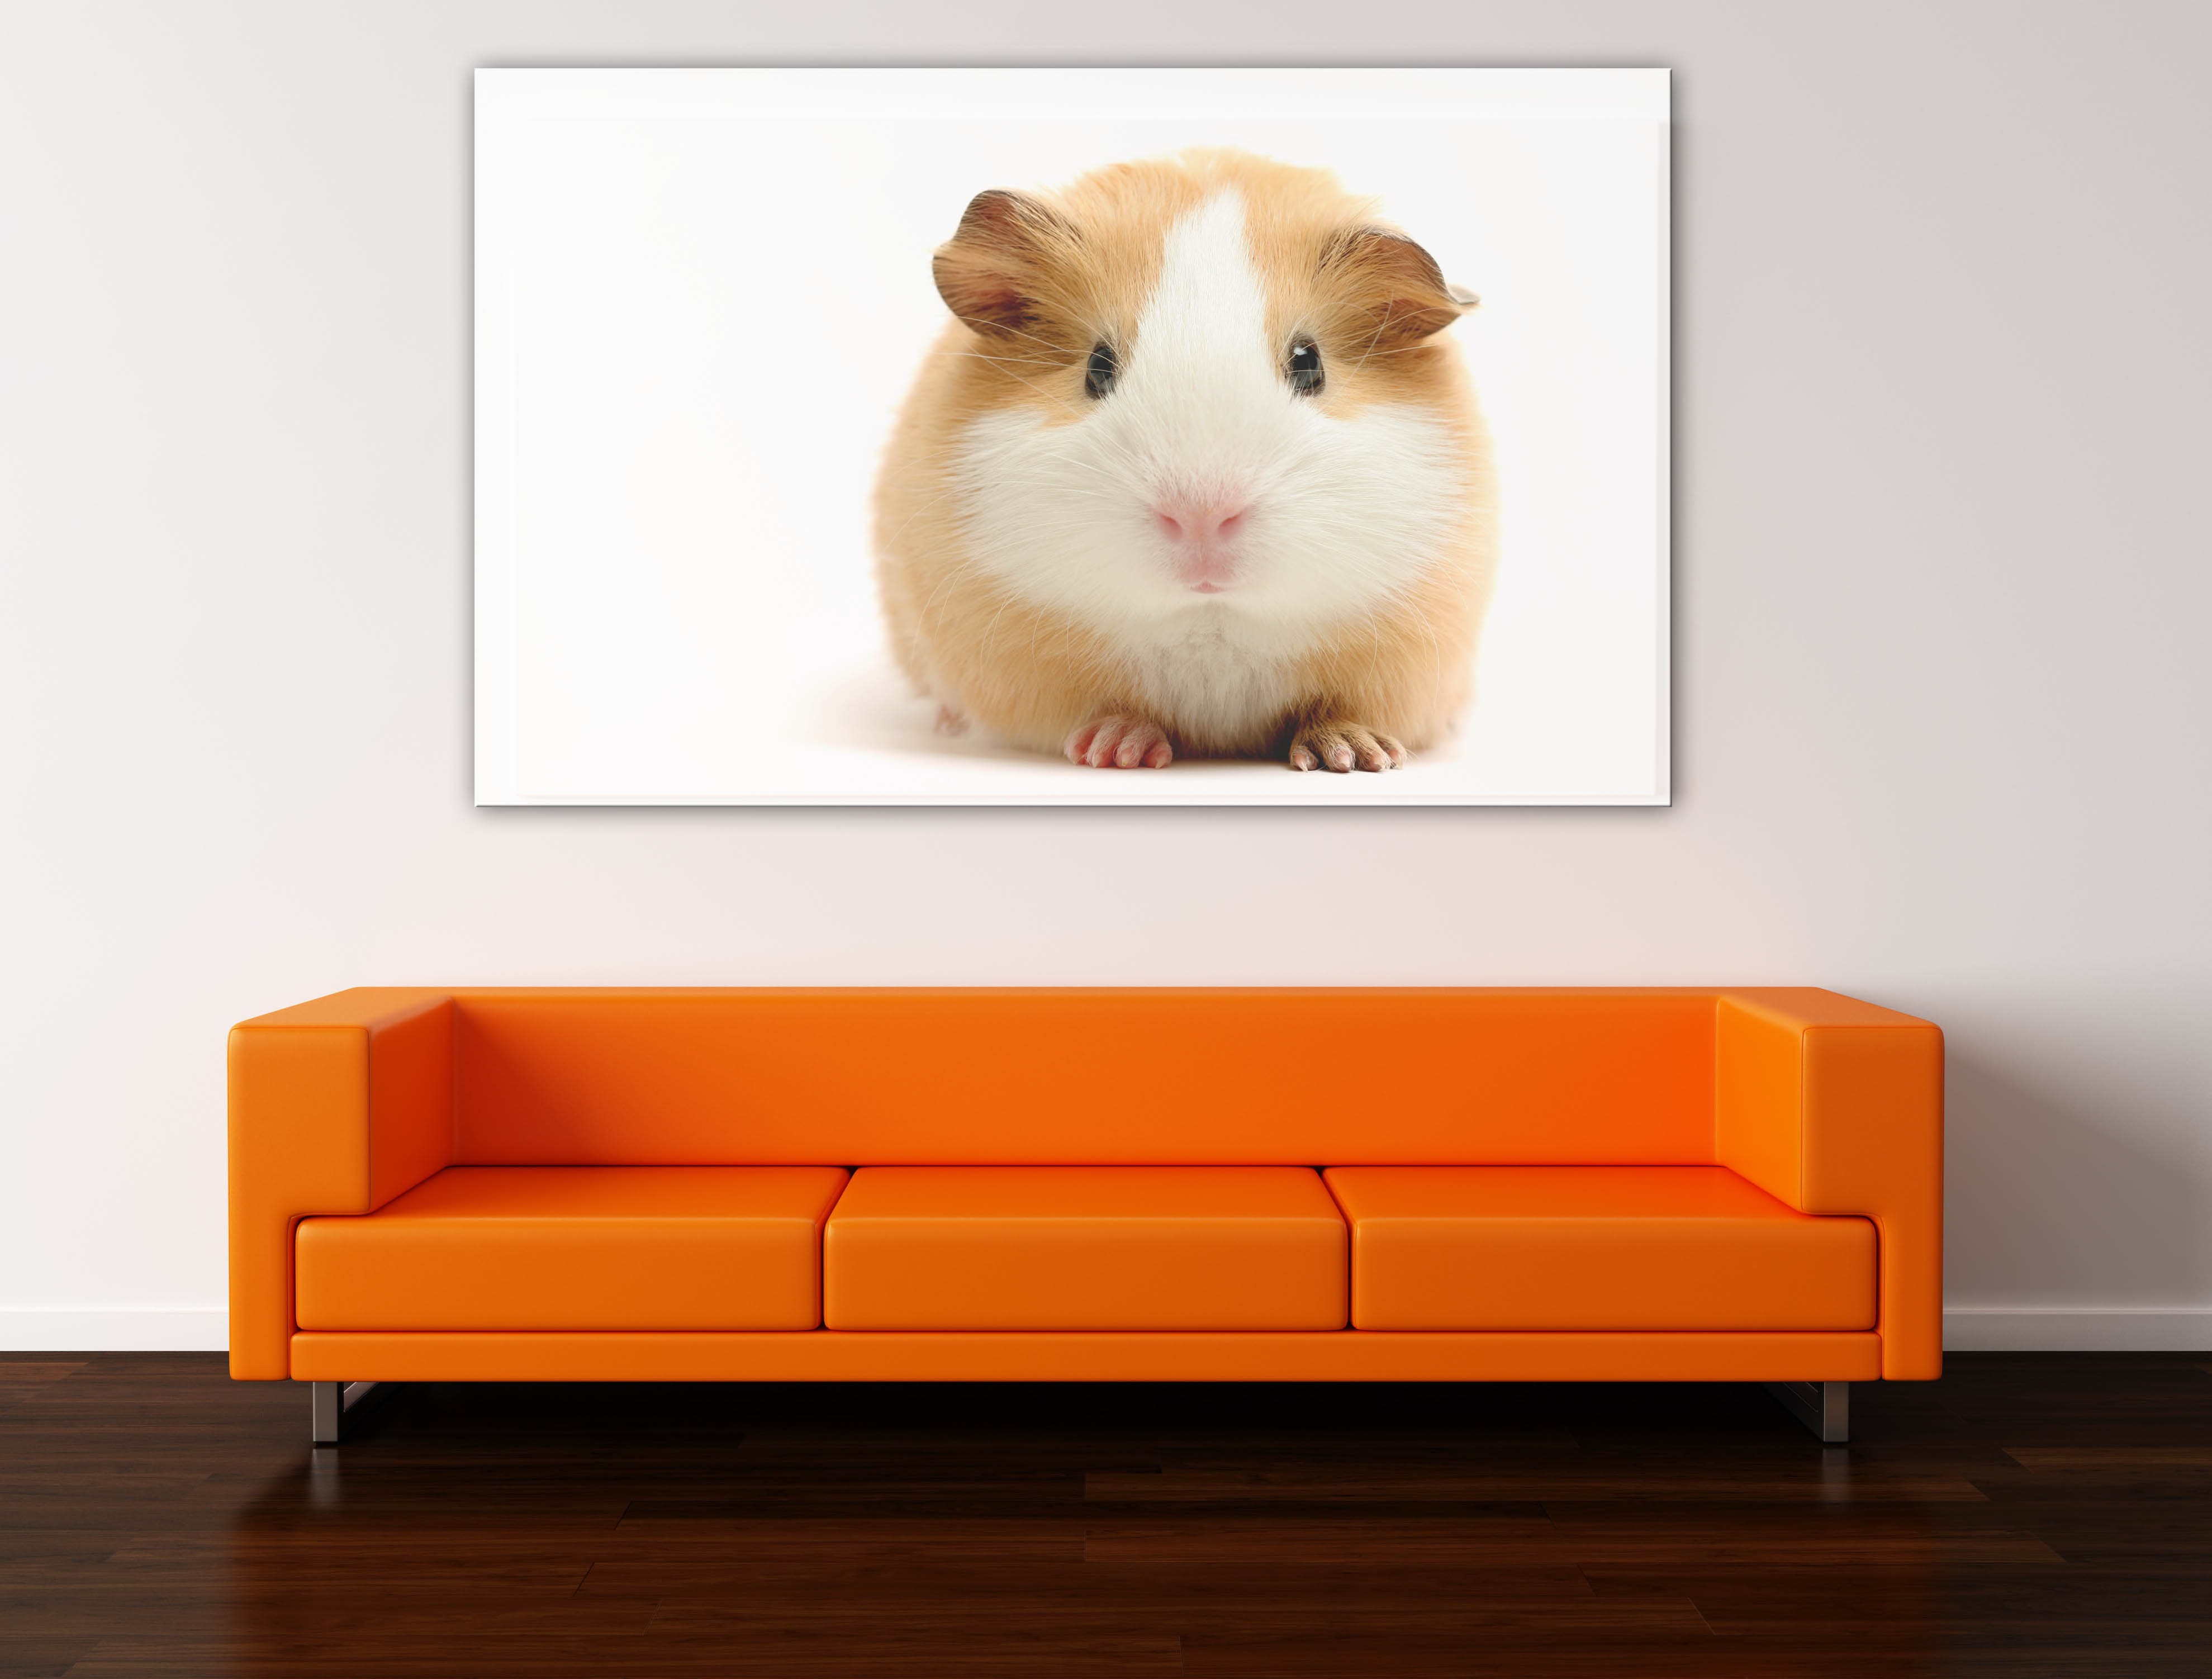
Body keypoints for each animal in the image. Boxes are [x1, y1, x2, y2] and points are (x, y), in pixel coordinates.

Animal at [872, 148, 1496, 772]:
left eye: (1309, 363)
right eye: (1097, 367)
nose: (1201, 517)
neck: (1210, 622)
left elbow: (1337, 708)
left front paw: (1354, 756)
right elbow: (1107, 711)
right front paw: (1116, 750)